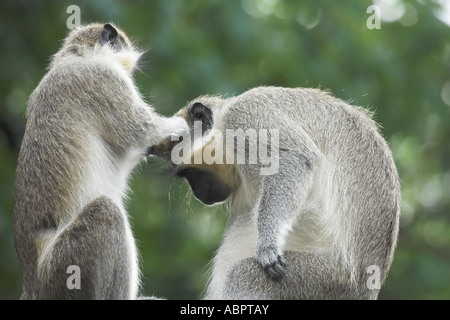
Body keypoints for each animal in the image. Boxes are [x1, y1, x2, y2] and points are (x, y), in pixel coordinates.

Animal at [12, 23, 188, 300]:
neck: (76, 56)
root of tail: (33, 285)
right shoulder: (104, 78)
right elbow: (139, 131)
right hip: (65, 267)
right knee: (107, 212)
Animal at [151, 85, 400, 300]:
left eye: (189, 173)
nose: (200, 193)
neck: (222, 123)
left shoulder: (245, 116)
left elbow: (293, 159)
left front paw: (268, 245)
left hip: (328, 279)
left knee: (241, 275)